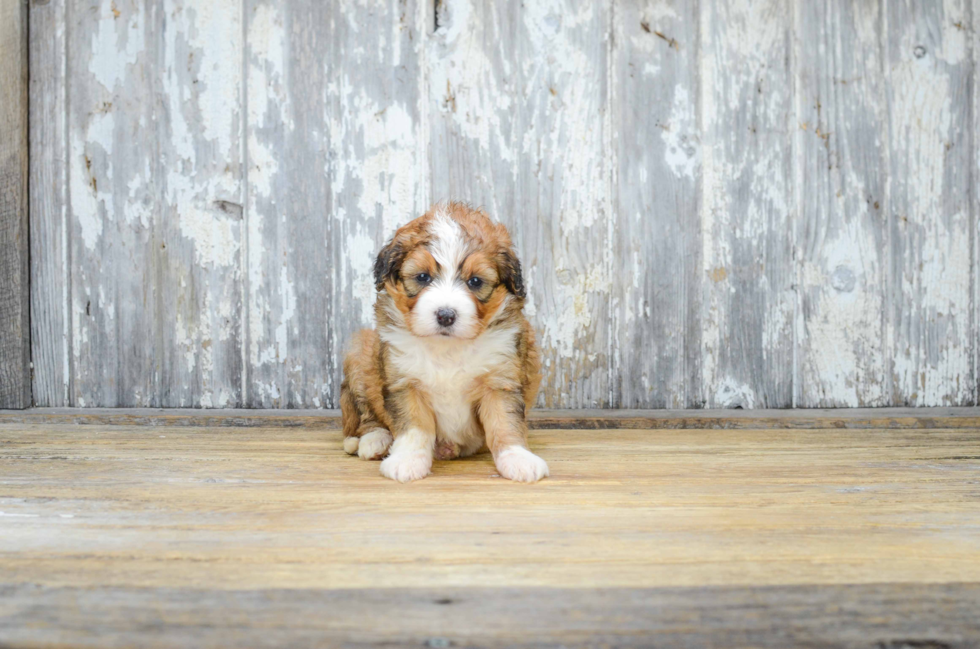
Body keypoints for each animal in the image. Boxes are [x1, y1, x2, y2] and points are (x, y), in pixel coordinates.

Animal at [340, 202, 548, 480]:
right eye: (423, 277)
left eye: (475, 281)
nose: (446, 315)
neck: (448, 347)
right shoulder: (405, 381)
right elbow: (414, 427)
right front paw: (407, 460)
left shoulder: (500, 380)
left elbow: (505, 422)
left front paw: (518, 458)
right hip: (360, 356)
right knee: (364, 417)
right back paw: (374, 441)